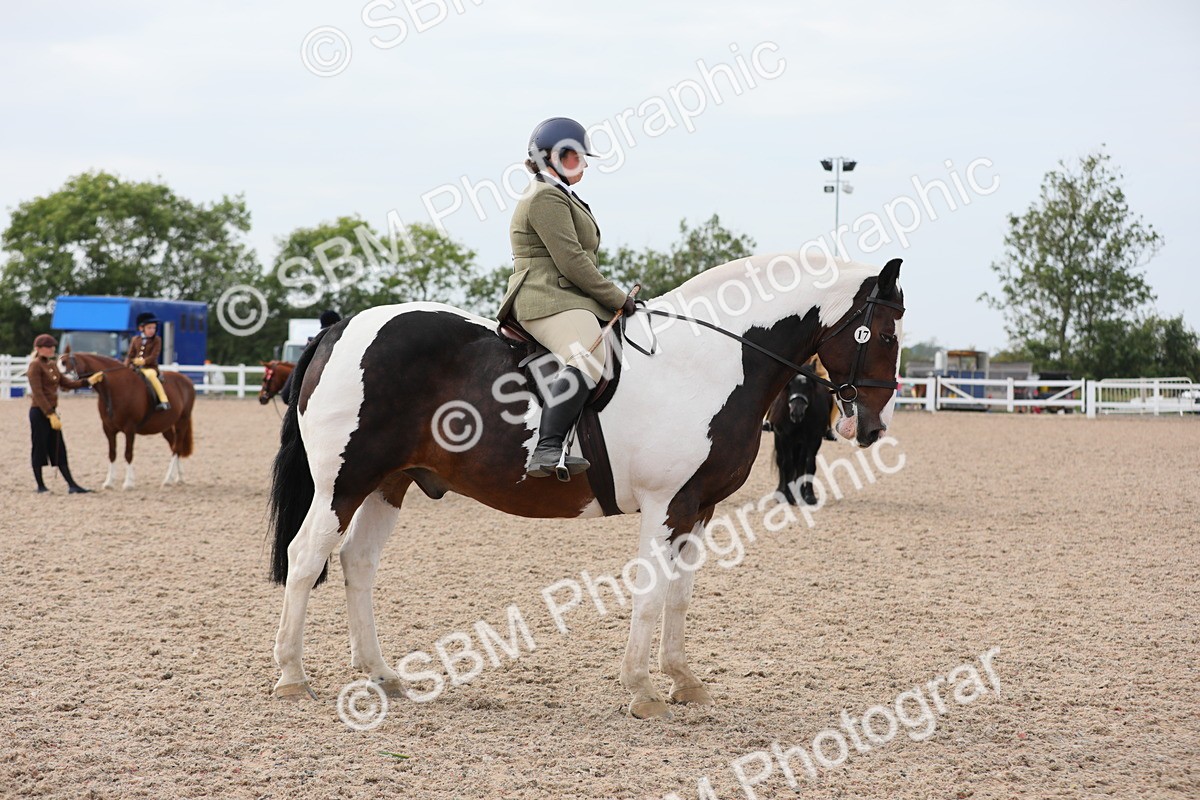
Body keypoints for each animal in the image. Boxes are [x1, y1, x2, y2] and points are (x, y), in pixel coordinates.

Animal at [59, 349, 197, 490]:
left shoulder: (129, 428)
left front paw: (128, 483)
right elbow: (112, 454)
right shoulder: (108, 429)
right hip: (166, 426)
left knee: (176, 448)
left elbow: (128, 453)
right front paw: (109, 482)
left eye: (64, 363)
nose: (62, 385)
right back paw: (179, 477)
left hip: (182, 422)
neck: (115, 387)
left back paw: (168, 479)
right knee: (174, 446)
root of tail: (186, 380)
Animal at [763, 371, 835, 505]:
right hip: (780, 438)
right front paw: (787, 496)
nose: (796, 413)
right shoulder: (784, 436)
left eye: (809, 387)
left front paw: (809, 496)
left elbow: (809, 464)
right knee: (781, 461)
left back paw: (799, 491)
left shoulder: (814, 438)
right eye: (789, 385)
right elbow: (787, 464)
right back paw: (781, 492)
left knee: (800, 463)